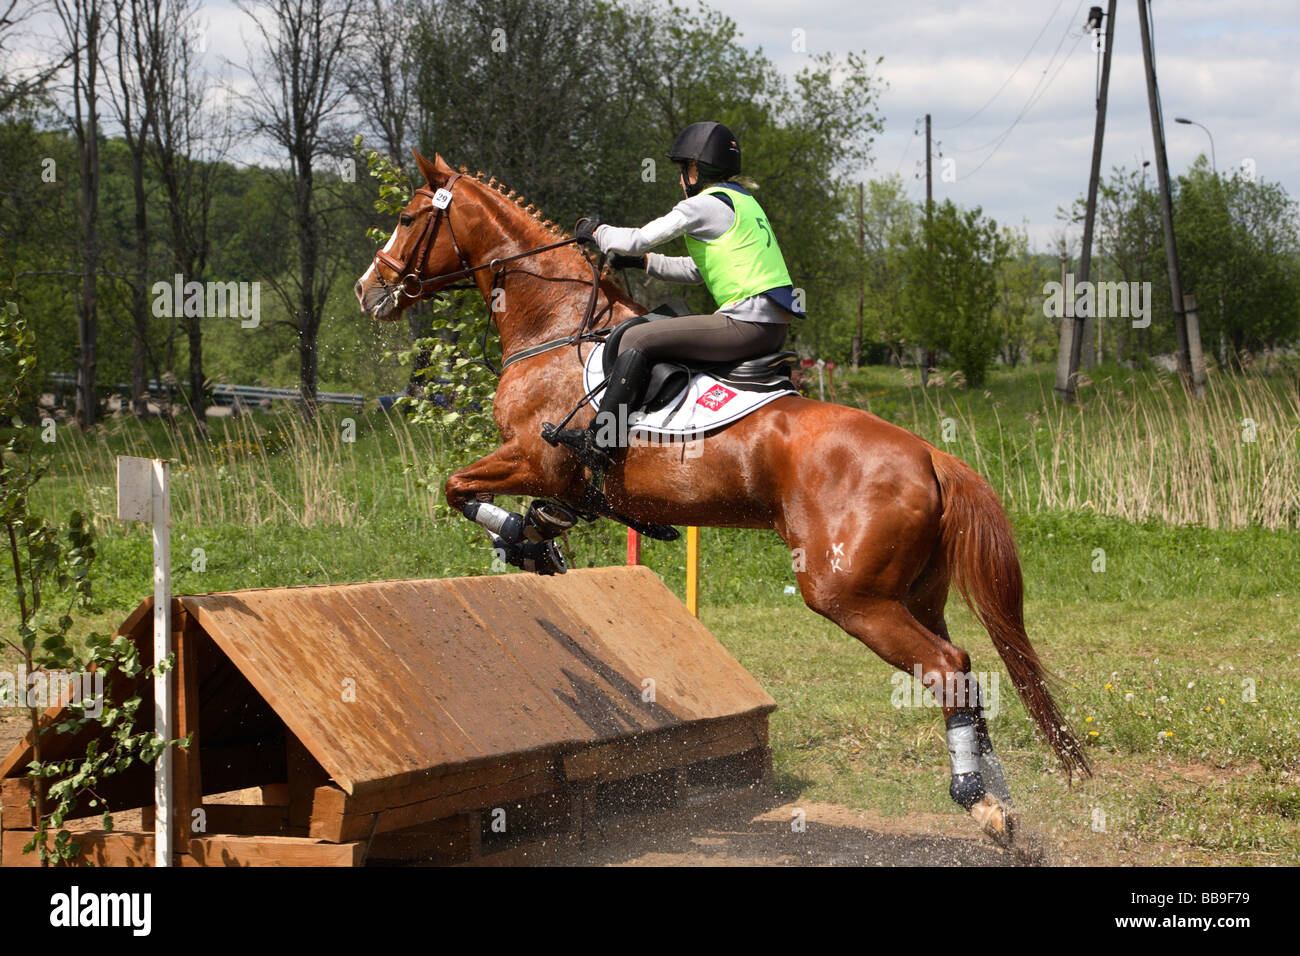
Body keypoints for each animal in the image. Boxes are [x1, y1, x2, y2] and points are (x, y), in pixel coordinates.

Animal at [353, 149, 1086, 853]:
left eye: (409, 217)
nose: (368, 289)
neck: (555, 325)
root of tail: (931, 455)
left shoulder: (536, 458)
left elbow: (458, 487)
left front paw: (523, 537)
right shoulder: (537, 468)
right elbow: (476, 493)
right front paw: (535, 539)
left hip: (850, 596)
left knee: (949, 668)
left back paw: (979, 801)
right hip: (916, 594)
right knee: (966, 671)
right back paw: (1004, 809)